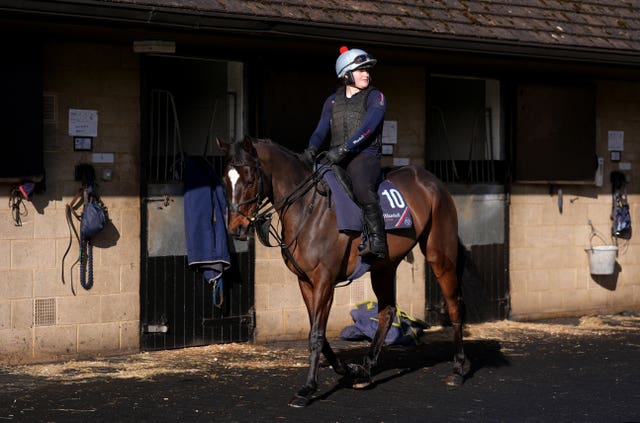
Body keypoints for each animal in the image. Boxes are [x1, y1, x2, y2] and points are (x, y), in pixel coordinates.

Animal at [218, 137, 468, 410]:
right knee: (387, 311)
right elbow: (318, 332)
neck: (308, 207)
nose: (236, 228)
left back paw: (457, 369)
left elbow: (317, 334)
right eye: (224, 180)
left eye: (250, 179)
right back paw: (365, 371)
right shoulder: (305, 281)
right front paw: (347, 369)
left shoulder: (324, 281)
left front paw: (307, 389)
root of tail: (430, 179)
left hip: (439, 255)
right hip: (384, 266)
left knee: (454, 304)